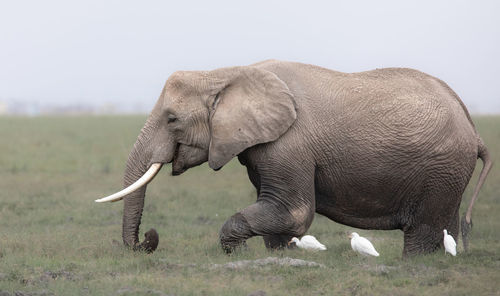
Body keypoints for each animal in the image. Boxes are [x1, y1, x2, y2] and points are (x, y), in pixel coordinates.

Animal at [97, 59, 492, 256]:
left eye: (172, 120)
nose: (148, 239)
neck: (225, 73)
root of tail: (474, 131)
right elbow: (277, 209)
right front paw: (278, 256)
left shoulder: (289, 144)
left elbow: (294, 211)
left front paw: (235, 253)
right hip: (447, 172)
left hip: (442, 168)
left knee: (423, 231)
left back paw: (416, 264)